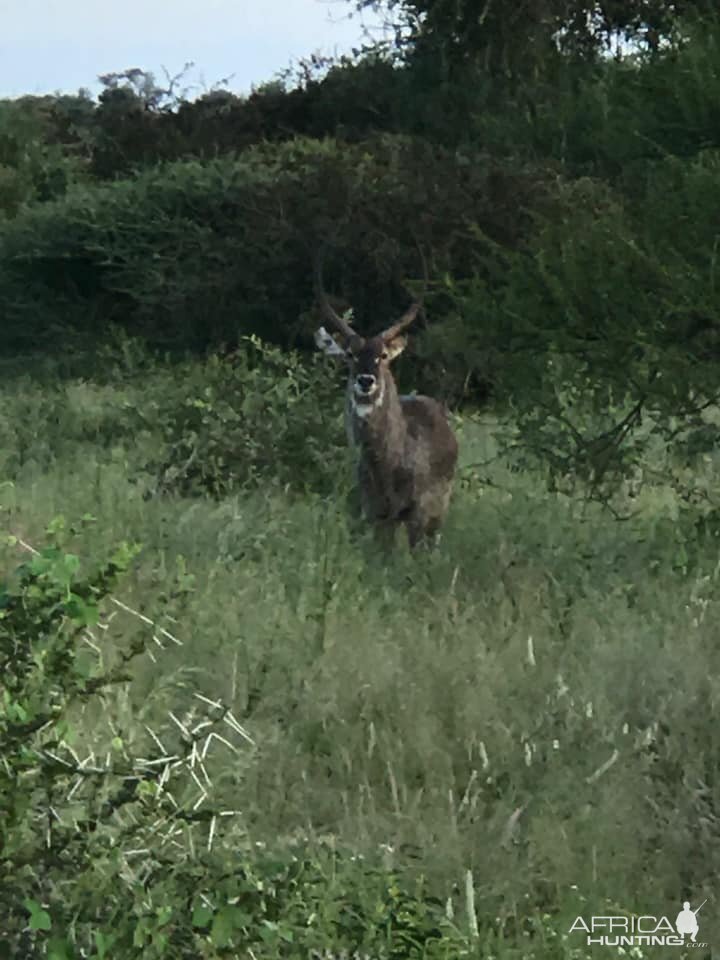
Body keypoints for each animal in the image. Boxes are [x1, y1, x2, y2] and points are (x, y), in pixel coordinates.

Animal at [312, 249, 458, 548]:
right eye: (350, 354)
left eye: (382, 355)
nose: (366, 381)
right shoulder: (375, 513)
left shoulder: (418, 513)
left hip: (437, 514)